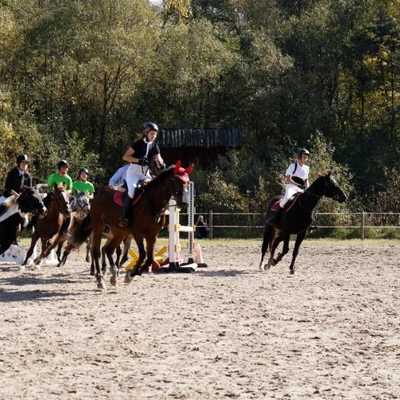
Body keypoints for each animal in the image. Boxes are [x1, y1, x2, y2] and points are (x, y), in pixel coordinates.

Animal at [71, 161, 195, 290]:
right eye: (175, 180)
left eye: (187, 181)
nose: (184, 203)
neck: (152, 202)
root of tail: (98, 195)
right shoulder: (137, 232)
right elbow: (143, 254)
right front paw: (130, 275)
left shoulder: (152, 235)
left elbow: (150, 258)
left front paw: (132, 273)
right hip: (99, 227)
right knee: (96, 251)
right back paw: (100, 278)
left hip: (119, 231)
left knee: (109, 249)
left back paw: (113, 275)